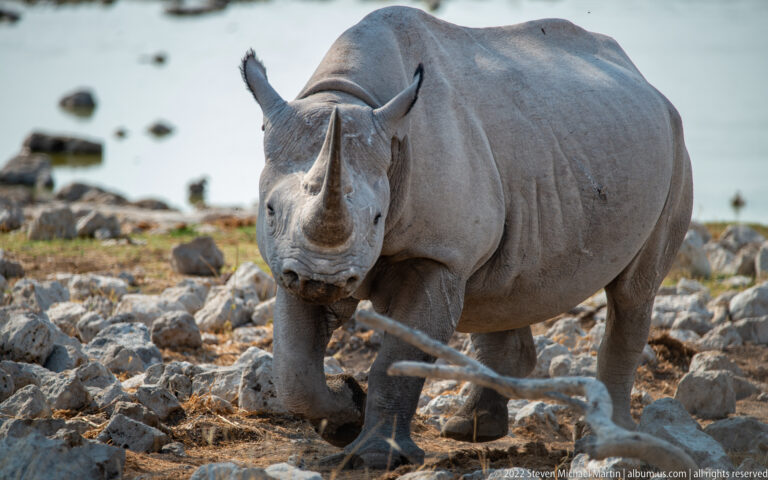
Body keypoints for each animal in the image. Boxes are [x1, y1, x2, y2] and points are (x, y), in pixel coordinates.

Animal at [240, 6, 692, 469]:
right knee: (503, 289)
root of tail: (643, 79)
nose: (322, 280)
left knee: (632, 294)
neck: (346, 97)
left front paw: (375, 457)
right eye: (270, 211)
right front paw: (347, 414)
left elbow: (398, 358)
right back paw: (470, 428)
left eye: (378, 218)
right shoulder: (289, 259)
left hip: (674, 146)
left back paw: (601, 444)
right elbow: (293, 367)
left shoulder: (438, 254)